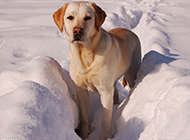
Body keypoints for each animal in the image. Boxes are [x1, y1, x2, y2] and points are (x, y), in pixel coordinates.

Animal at [52, 1, 140, 140]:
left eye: (88, 18)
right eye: (70, 17)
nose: (77, 30)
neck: (85, 54)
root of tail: (130, 31)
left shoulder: (105, 91)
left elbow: (105, 120)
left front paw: (105, 137)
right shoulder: (81, 90)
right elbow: (84, 117)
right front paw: (83, 135)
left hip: (131, 73)